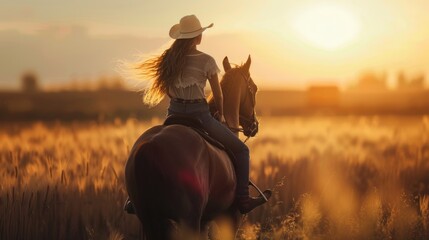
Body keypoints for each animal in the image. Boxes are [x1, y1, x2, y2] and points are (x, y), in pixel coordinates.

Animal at [123, 55, 258, 238]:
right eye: (255, 89)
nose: (254, 125)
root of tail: (148, 149)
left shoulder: (204, 220)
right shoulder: (230, 216)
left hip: (149, 219)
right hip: (188, 218)